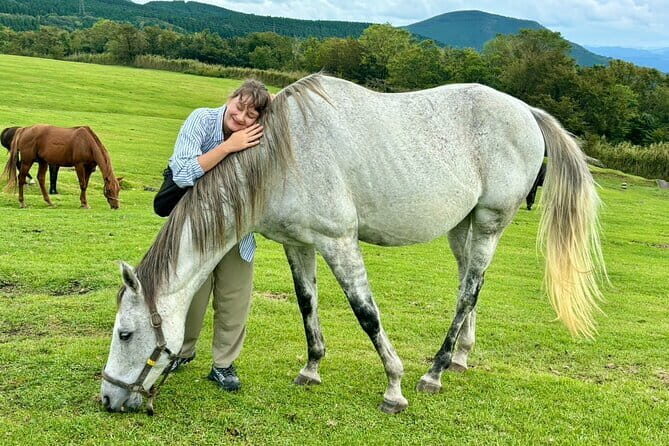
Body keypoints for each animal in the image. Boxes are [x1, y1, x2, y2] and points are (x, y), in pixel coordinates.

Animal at [101, 74, 605, 414]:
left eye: (125, 333)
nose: (107, 397)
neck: (284, 156)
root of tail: (526, 112)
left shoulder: (339, 242)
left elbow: (366, 314)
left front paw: (394, 387)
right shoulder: (298, 245)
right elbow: (307, 305)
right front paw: (311, 369)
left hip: (487, 224)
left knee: (468, 292)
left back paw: (434, 372)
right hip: (462, 228)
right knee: (470, 284)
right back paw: (459, 358)